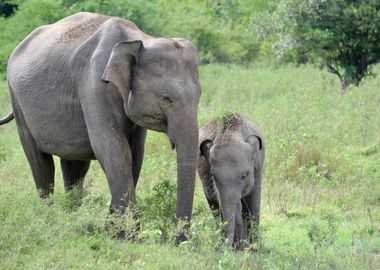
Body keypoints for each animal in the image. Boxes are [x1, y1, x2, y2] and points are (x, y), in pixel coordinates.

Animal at [0, 12, 202, 240]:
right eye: (166, 98)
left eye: (200, 96)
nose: (178, 241)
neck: (140, 39)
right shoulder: (94, 84)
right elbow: (112, 148)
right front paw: (126, 236)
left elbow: (135, 154)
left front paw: (112, 231)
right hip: (17, 102)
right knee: (40, 163)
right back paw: (49, 219)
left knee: (75, 167)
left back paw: (71, 218)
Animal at [199, 113, 264, 248]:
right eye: (214, 177)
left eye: (244, 175)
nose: (224, 249)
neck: (231, 133)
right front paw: (244, 247)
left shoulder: (258, 165)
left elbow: (254, 200)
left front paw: (255, 247)